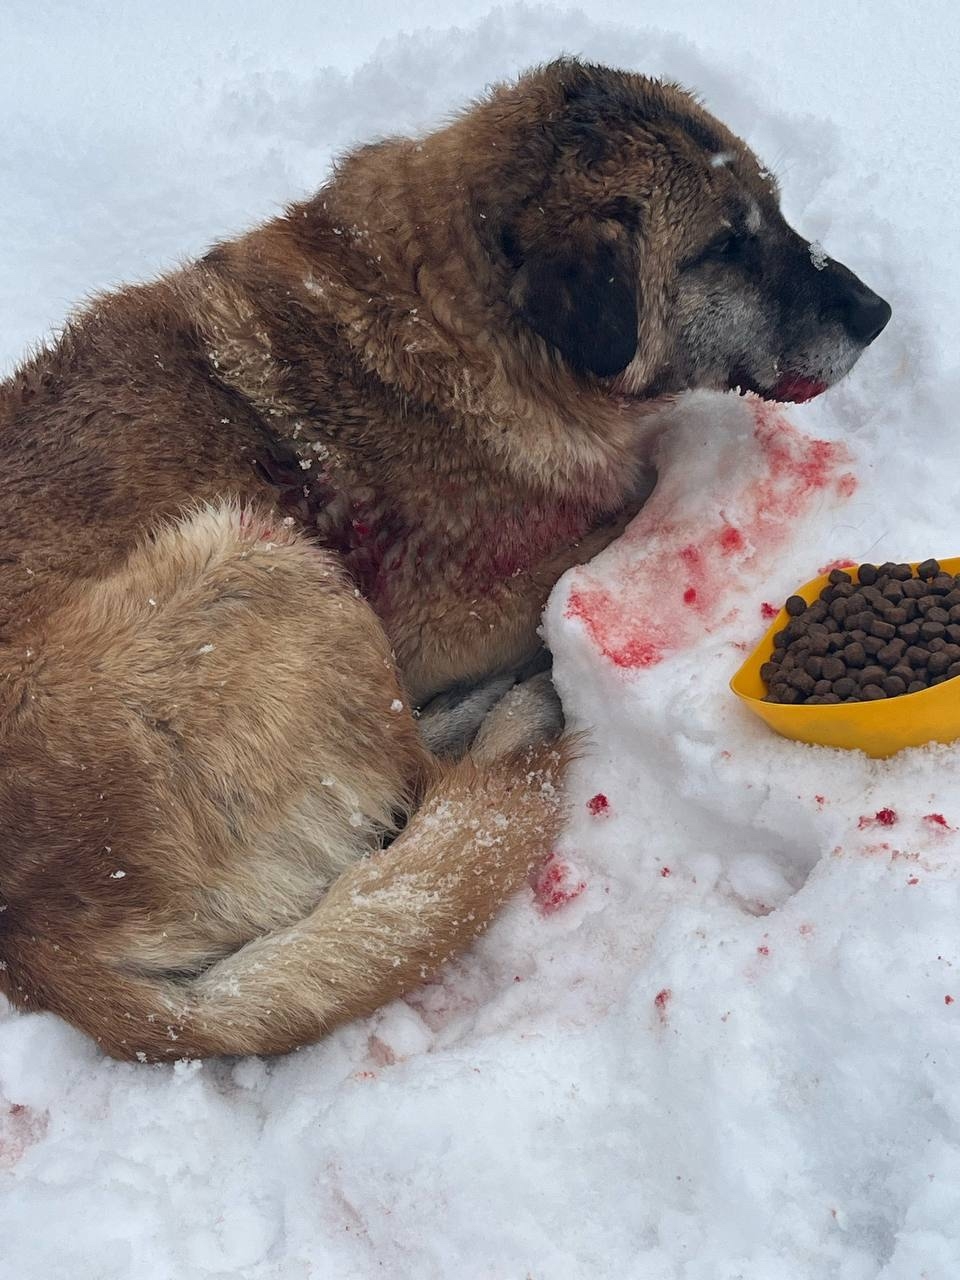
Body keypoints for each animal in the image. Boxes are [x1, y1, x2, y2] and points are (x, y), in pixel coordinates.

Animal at [0, 59, 889, 1060]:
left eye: (774, 214)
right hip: (264, 567)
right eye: (724, 249)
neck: (459, 321)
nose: (880, 312)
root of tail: (33, 949)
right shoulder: (448, 619)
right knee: (424, 793)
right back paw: (505, 714)